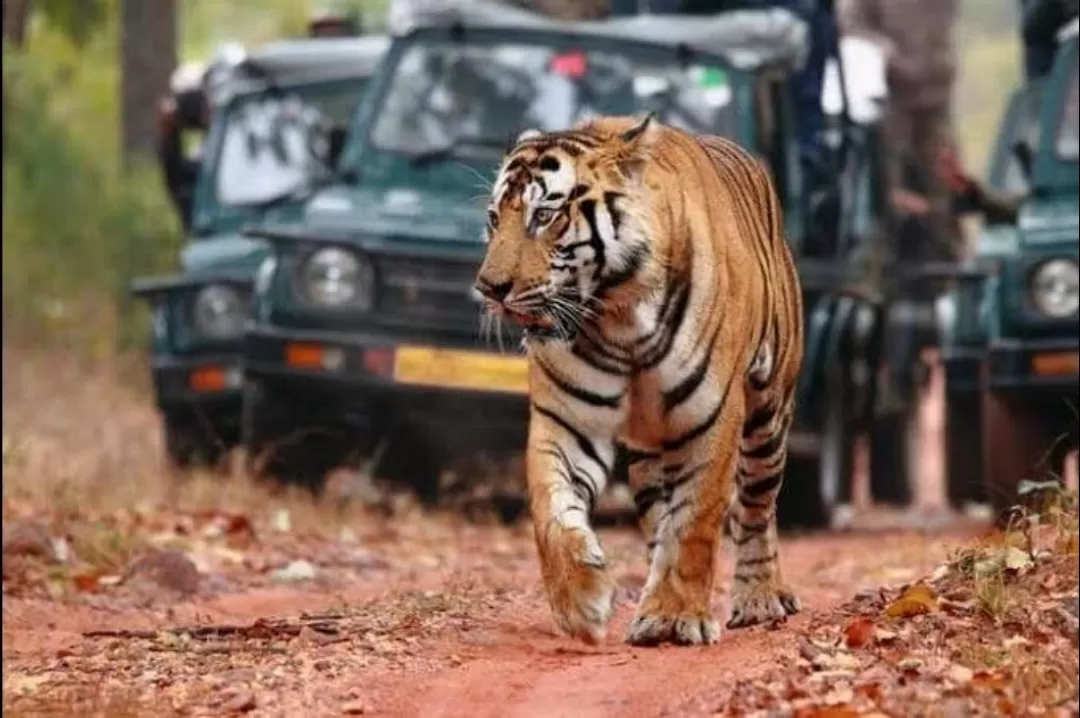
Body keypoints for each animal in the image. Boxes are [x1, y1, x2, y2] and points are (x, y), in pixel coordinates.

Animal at [473, 114, 803, 647]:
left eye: (544, 216)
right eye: (493, 218)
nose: (488, 288)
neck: (618, 317)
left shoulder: (711, 417)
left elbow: (695, 521)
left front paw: (677, 616)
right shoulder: (566, 420)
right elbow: (551, 511)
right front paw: (582, 602)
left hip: (768, 415)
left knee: (757, 507)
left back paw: (760, 599)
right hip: (650, 454)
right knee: (658, 518)